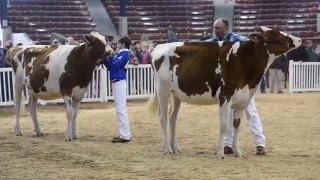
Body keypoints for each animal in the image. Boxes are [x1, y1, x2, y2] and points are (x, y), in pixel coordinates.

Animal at [148, 26, 302, 159]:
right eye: (276, 34)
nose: (299, 39)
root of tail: (158, 47)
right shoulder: (225, 96)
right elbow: (224, 126)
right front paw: (220, 153)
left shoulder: (242, 100)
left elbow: (237, 126)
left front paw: (237, 152)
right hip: (163, 90)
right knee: (163, 118)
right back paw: (167, 149)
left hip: (176, 94)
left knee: (173, 119)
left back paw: (175, 149)